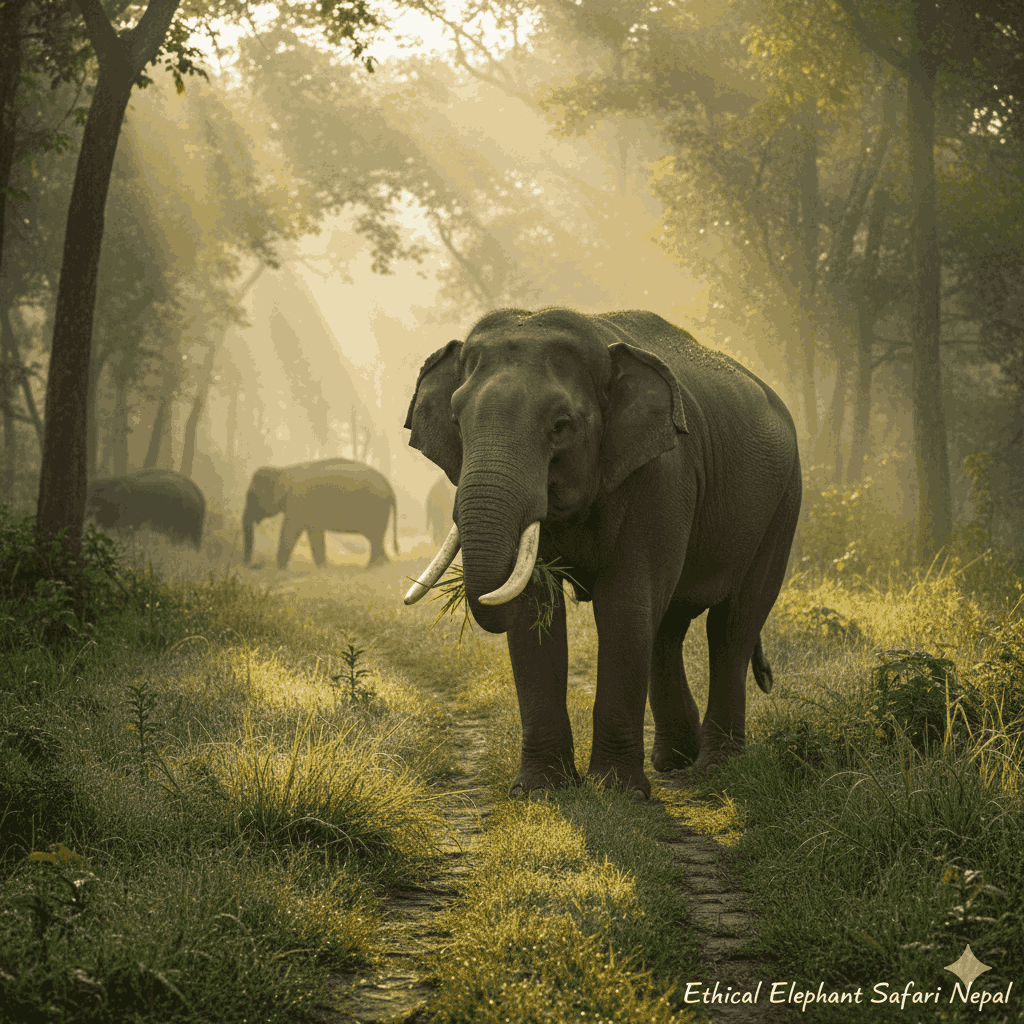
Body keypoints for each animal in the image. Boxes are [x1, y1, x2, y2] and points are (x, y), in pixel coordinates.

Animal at [242, 458, 398, 569]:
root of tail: (388, 485)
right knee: (376, 538)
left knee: (375, 537)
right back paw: (381, 564)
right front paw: (322, 567)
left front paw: (279, 569)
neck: (284, 470)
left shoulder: (298, 501)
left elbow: (290, 530)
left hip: (376, 509)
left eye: (252, 496)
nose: (250, 565)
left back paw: (372, 567)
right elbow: (314, 533)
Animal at [403, 307, 801, 800]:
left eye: (560, 426)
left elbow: (623, 606)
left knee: (733, 624)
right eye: (457, 421)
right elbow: (538, 609)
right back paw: (673, 762)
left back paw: (713, 770)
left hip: (783, 503)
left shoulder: (662, 475)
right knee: (667, 625)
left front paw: (617, 793)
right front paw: (539, 792)